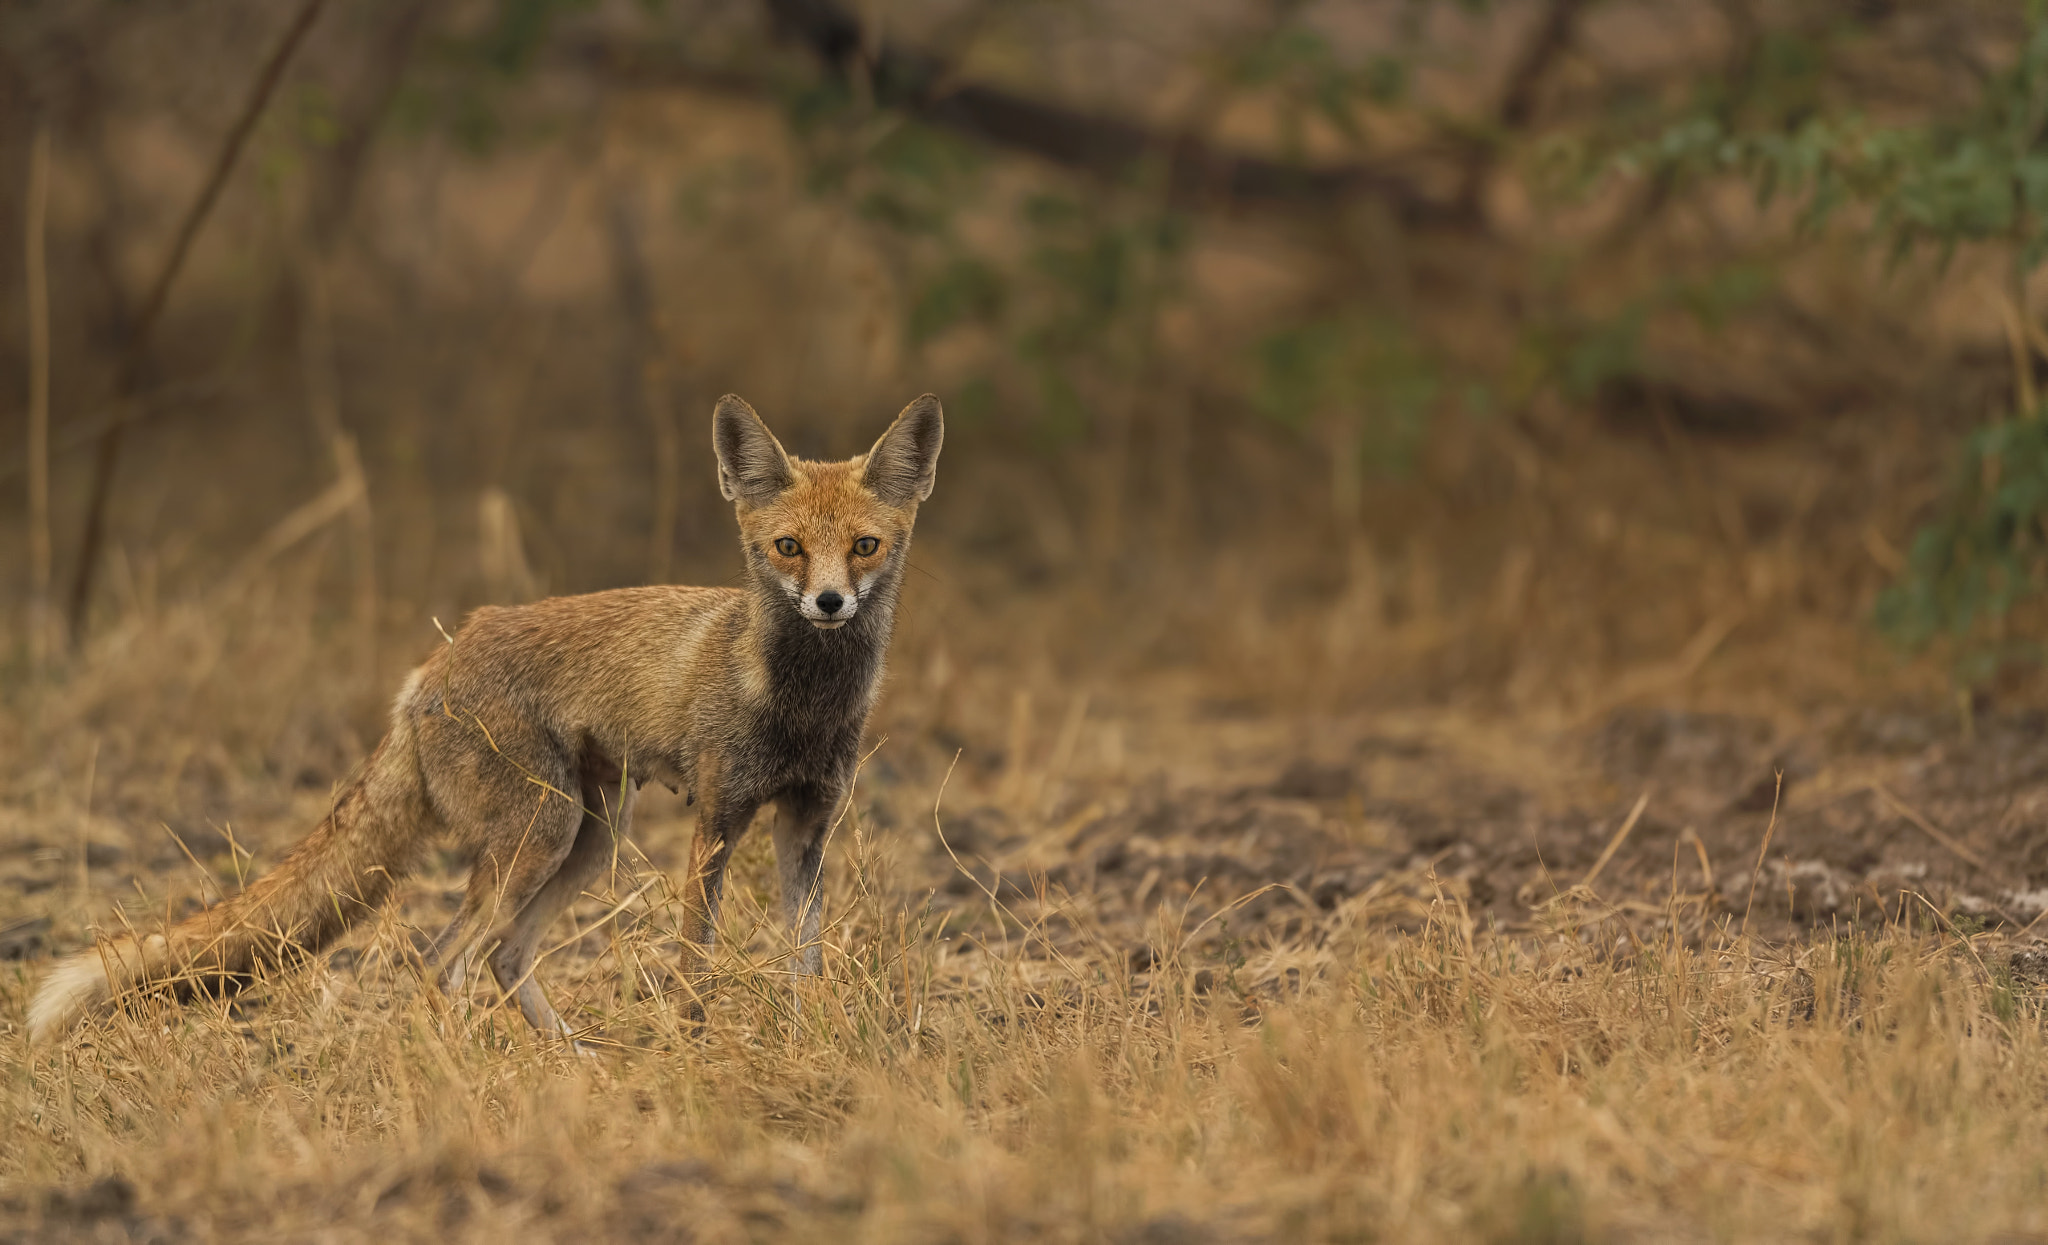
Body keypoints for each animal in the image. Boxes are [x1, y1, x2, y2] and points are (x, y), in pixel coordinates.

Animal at [27, 393, 943, 1045]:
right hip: (542, 833)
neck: (800, 706)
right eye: (789, 547)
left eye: (864, 546)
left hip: (586, 838)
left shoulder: (808, 823)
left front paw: (808, 1040)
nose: (829, 603)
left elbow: (803, 961)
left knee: (501, 956)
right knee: (440, 962)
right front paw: (694, 1051)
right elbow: (694, 962)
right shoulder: (717, 819)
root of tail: (432, 664)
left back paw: (572, 1060)